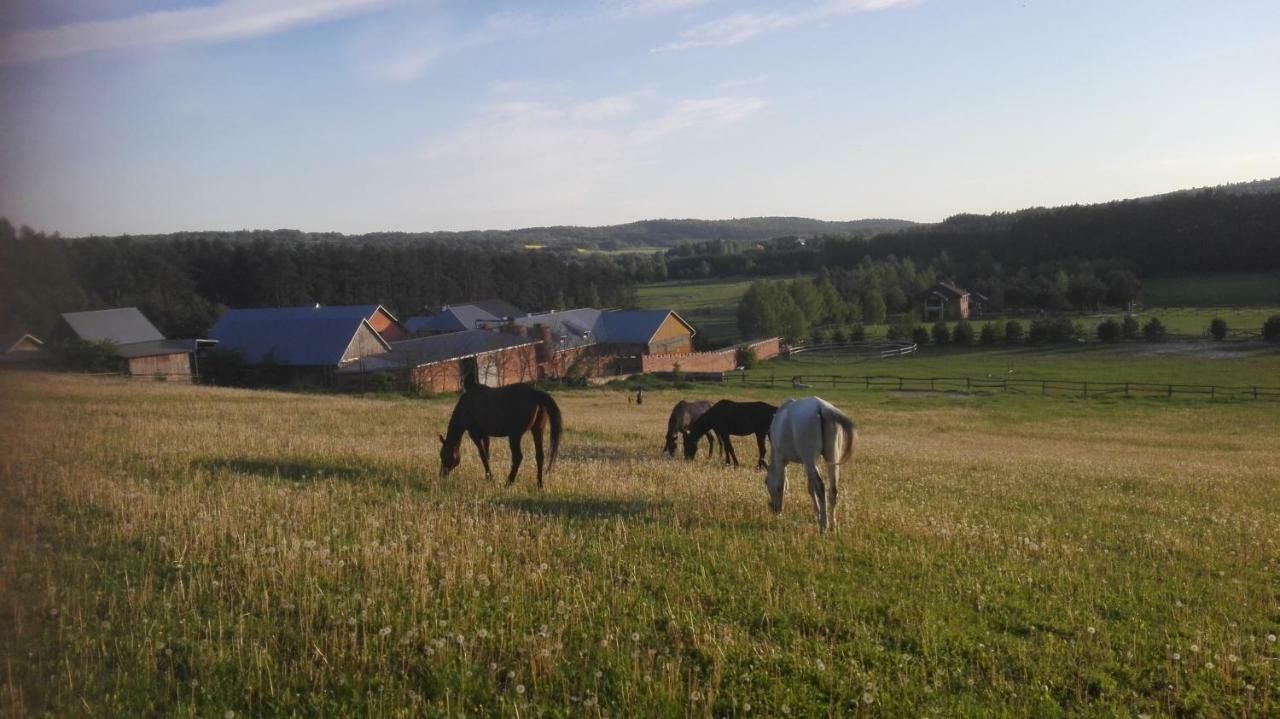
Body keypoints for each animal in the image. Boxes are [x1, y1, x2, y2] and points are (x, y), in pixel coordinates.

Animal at [762, 394, 855, 529]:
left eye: (765, 482)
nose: (773, 508)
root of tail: (822, 408)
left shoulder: (782, 460)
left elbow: (781, 485)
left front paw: (780, 512)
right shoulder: (809, 463)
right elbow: (810, 488)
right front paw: (817, 513)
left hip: (811, 460)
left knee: (821, 487)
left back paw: (824, 526)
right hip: (831, 458)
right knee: (833, 489)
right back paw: (832, 524)